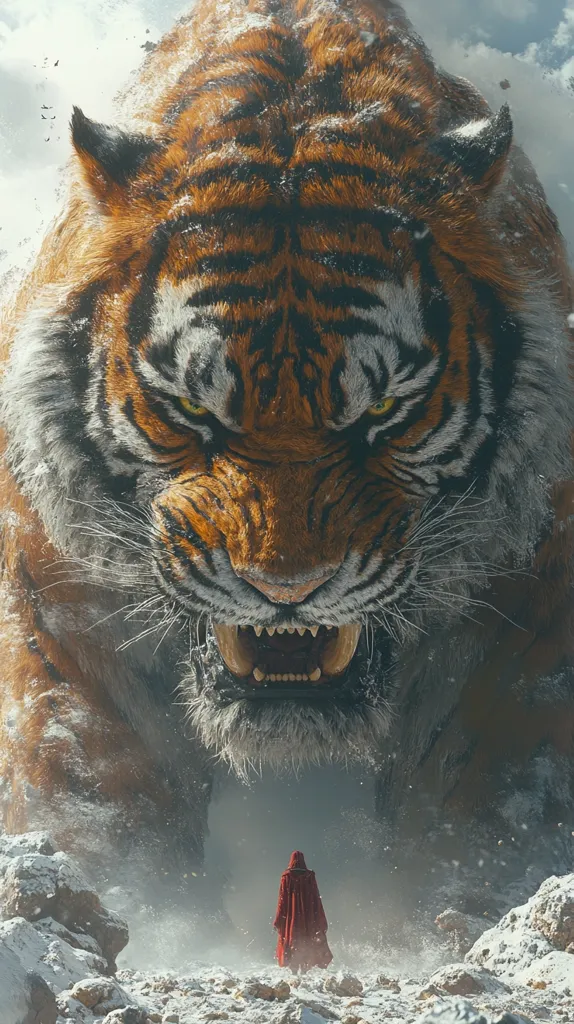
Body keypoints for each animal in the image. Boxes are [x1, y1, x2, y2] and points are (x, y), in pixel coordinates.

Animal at [0, 0, 573, 914]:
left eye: (383, 411)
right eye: (195, 409)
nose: (287, 592)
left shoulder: (519, 608)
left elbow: (490, 779)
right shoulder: (63, 603)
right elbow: (93, 777)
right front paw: (138, 903)